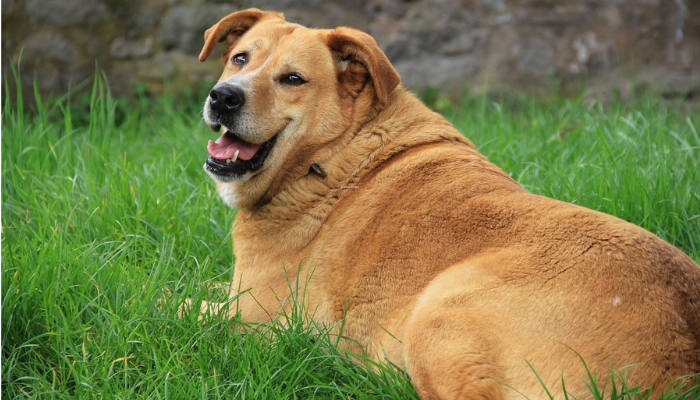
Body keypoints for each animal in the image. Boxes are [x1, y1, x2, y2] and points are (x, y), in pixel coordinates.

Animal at [196, 7, 700, 398]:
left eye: (293, 79)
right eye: (240, 58)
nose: (223, 97)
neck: (332, 156)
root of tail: (680, 359)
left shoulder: (250, 317)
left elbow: (181, 306)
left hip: (438, 313)